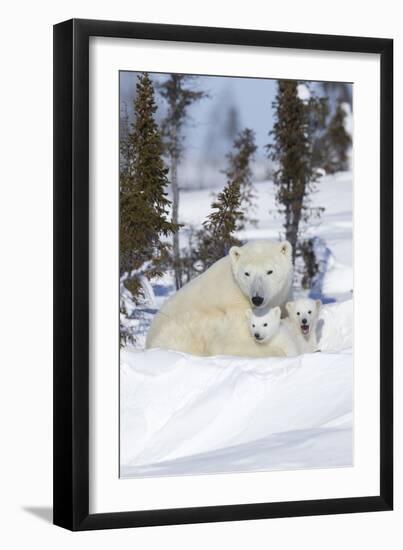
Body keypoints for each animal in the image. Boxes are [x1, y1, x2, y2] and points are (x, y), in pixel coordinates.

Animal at [145, 239, 294, 356]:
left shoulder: (283, 296)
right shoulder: (236, 305)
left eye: (270, 271)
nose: (257, 298)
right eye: (247, 273)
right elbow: (238, 339)